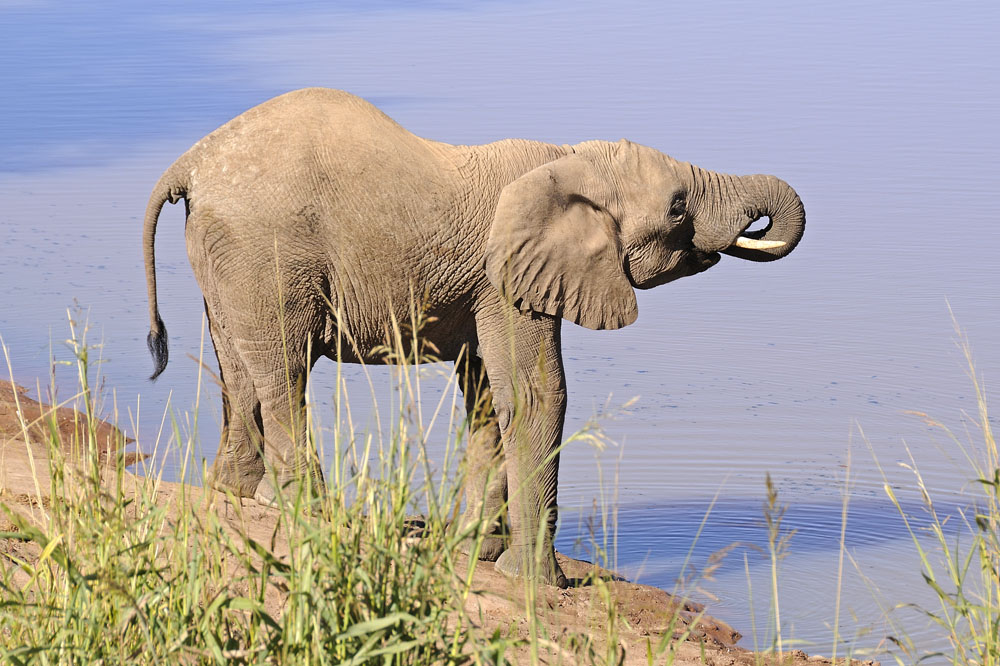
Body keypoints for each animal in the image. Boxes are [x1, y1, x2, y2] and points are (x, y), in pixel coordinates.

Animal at [142, 88, 804, 587]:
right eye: (677, 207)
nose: (758, 225)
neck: (568, 157)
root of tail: (190, 163)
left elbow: (488, 397)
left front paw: (474, 552)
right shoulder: (506, 276)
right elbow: (538, 395)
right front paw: (537, 583)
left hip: (227, 256)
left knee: (237, 366)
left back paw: (236, 493)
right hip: (268, 251)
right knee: (283, 372)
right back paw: (300, 508)